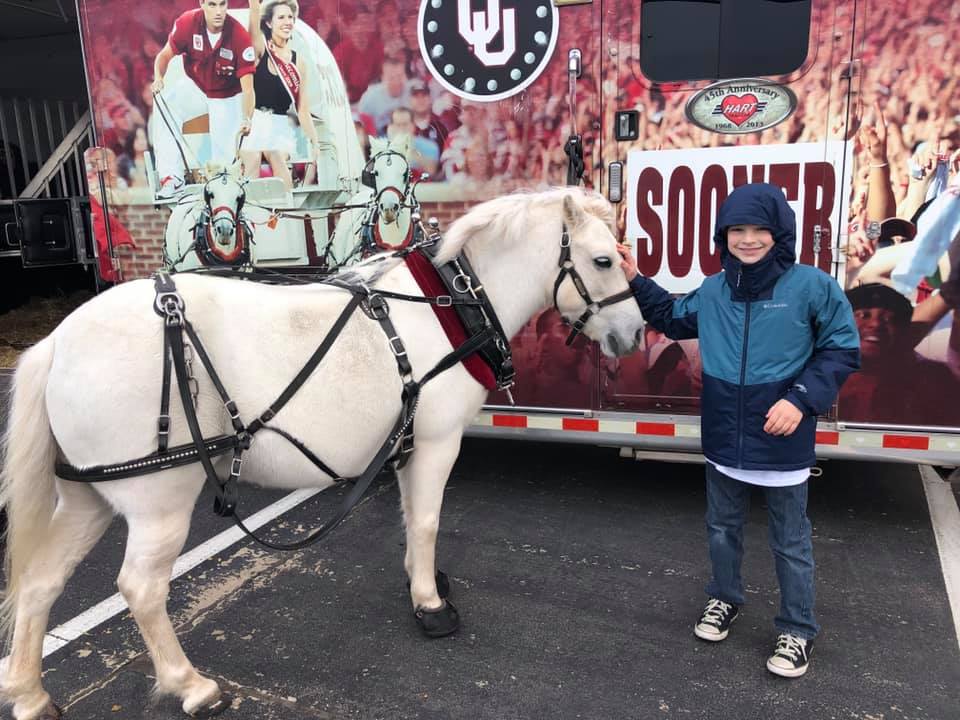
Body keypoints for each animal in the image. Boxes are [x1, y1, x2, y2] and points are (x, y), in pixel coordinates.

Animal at [1, 187, 644, 720]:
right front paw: (430, 604)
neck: (448, 306)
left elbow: (410, 520)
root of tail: (56, 342)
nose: (634, 335)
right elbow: (428, 520)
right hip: (159, 501)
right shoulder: (437, 443)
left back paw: (30, 694)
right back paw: (190, 685)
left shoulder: (405, 445)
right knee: (139, 588)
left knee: (40, 582)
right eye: (603, 260)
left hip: (86, 496)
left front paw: (420, 579)